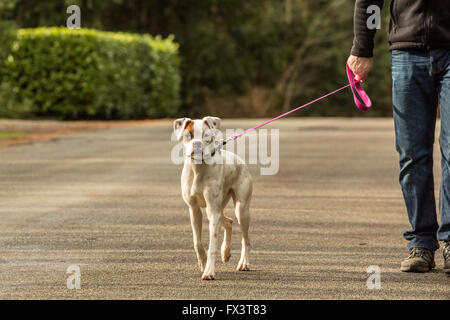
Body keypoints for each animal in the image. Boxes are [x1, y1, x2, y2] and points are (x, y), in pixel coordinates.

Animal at [173, 117, 253, 280]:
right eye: (188, 135)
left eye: (206, 135)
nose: (197, 145)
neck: (198, 169)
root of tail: (240, 161)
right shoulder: (194, 210)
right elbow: (197, 242)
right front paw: (203, 263)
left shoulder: (213, 210)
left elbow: (212, 245)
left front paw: (209, 271)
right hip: (218, 209)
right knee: (228, 222)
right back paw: (226, 252)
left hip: (241, 210)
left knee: (246, 240)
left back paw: (245, 263)